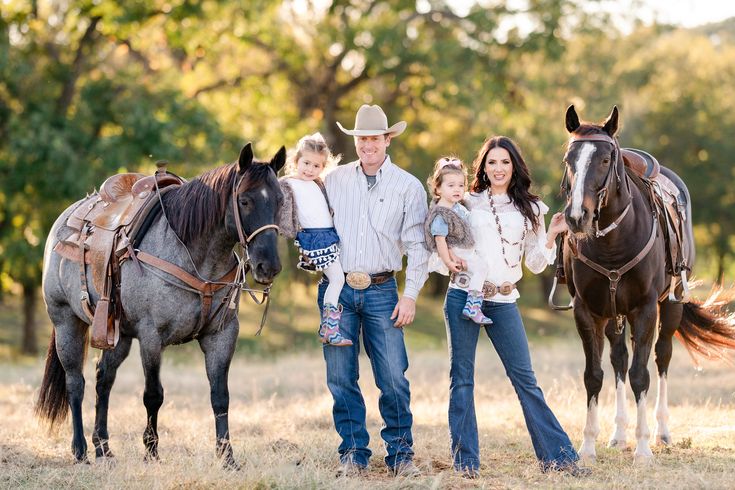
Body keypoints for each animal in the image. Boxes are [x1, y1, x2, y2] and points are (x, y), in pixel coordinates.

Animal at [36, 145, 284, 468]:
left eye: (280, 200)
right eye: (244, 200)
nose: (269, 266)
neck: (192, 253)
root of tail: (63, 222)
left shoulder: (222, 335)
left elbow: (220, 395)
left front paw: (227, 457)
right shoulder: (151, 337)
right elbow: (153, 395)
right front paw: (151, 452)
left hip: (117, 333)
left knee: (104, 379)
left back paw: (103, 447)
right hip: (67, 321)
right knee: (75, 383)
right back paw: (80, 450)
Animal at [560, 106, 735, 464]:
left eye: (605, 159)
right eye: (568, 159)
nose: (577, 217)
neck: (611, 241)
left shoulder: (644, 310)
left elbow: (641, 375)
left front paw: (642, 449)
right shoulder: (587, 311)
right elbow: (594, 376)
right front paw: (588, 447)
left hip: (669, 306)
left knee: (662, 358)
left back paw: (662, 432)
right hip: (614, 315)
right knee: (619, 360)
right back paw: (618, 434)